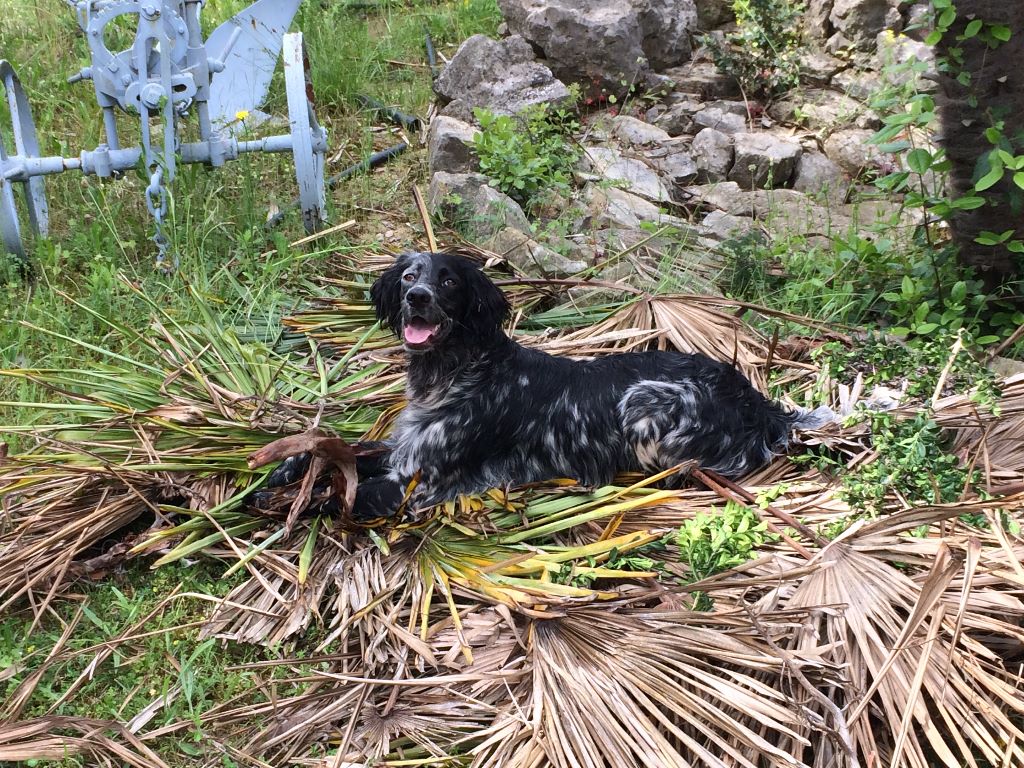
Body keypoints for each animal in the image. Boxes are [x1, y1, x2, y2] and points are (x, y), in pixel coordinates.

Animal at [270, 249, 831, 520]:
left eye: (448, 280)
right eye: (409, 277)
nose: (418, 298)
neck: (456, 372)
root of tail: (759, 402)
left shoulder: (418, 482)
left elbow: (337, 498)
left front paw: (287, 501)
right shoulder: (405, 448)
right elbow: (341, 453)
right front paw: (285, 470)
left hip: (645, 400)